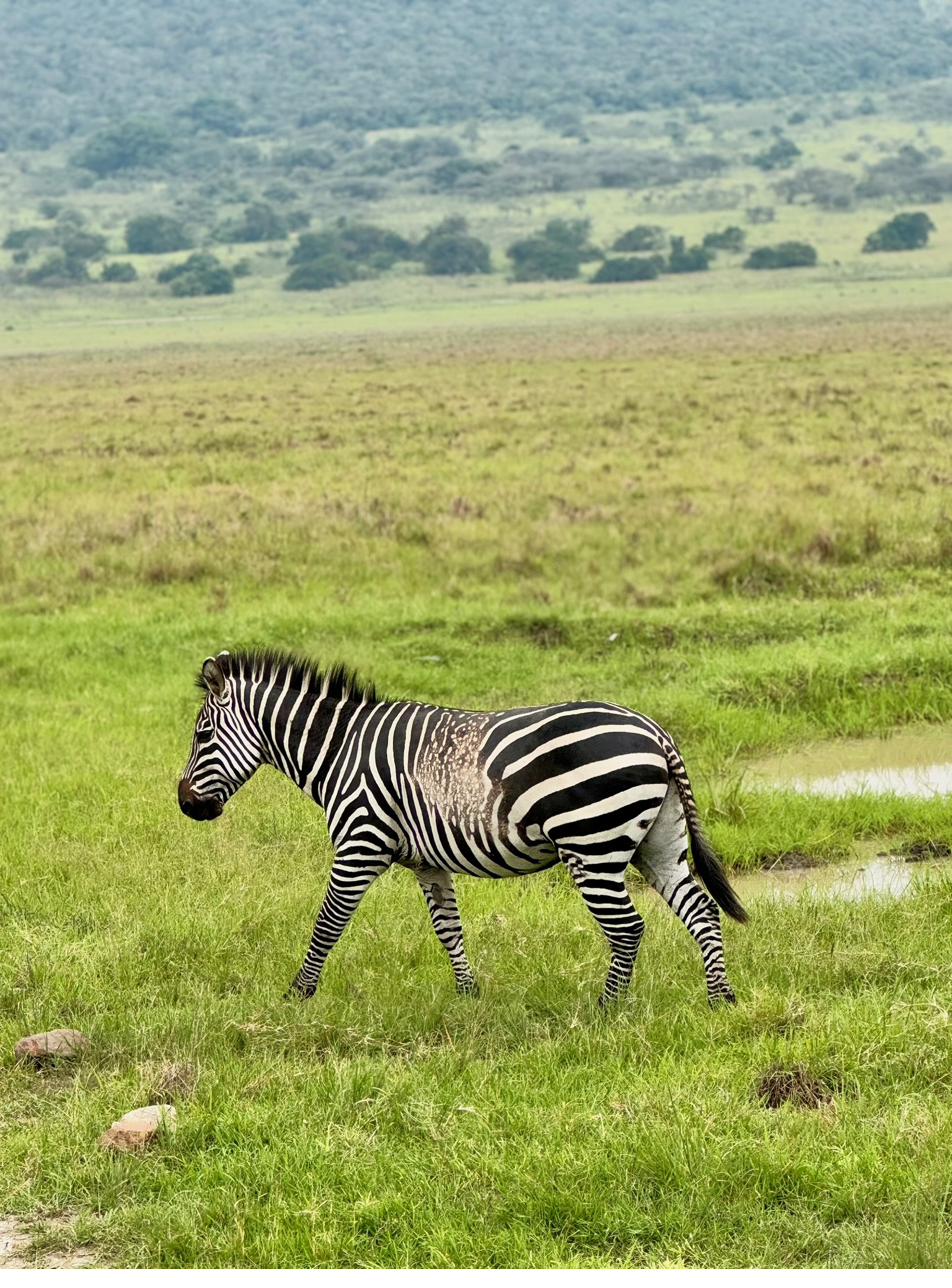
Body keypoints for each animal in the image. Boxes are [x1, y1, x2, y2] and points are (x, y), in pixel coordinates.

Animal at [178, 648, 747, 1008]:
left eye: (202, 736)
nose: (185, 806)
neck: (340, 750)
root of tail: (655, 732)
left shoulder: (360, 845)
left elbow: (327, 924)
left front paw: (297, 995)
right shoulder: (427, 863)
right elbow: (448, 928)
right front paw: (468, 995)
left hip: (593, 843)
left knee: (627, 927)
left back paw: (607, 1008)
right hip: (657, 842)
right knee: (701, 910)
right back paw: (720, 1000)